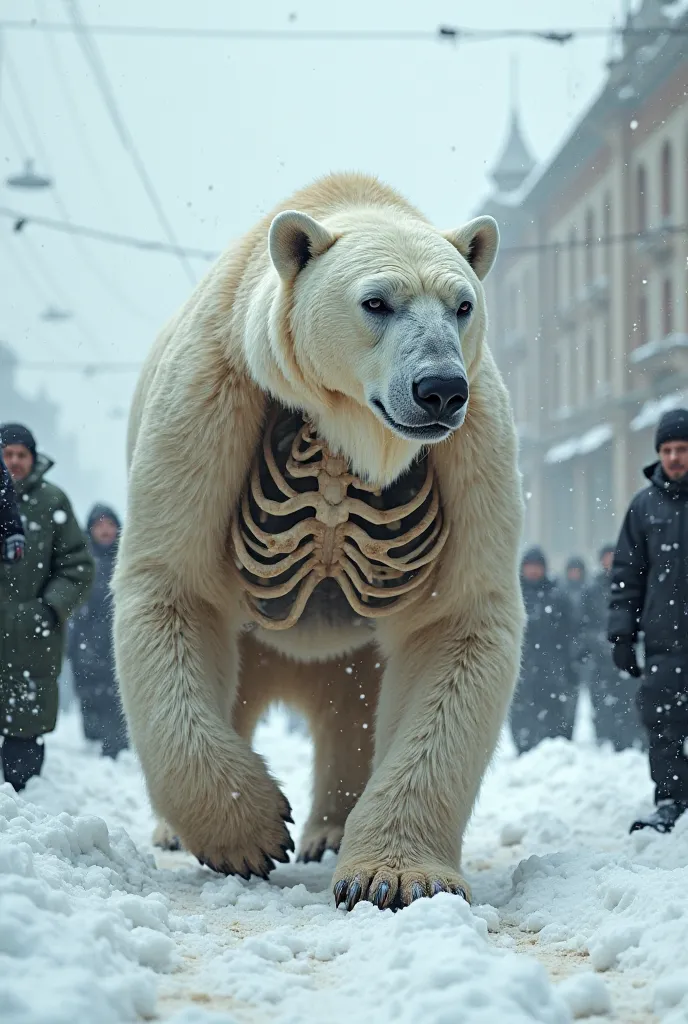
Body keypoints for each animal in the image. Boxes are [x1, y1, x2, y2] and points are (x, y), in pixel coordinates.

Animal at [112, 172, 524, 909]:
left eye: (463, 305)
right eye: (377, 301)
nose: (440, 389)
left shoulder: (472, 447)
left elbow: (458, 623)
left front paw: (394, 878)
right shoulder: (217, 393)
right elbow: (173, 588)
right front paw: (250, 832)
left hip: (348, 650)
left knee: (351, 704)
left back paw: (329, 831)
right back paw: (177, 832)